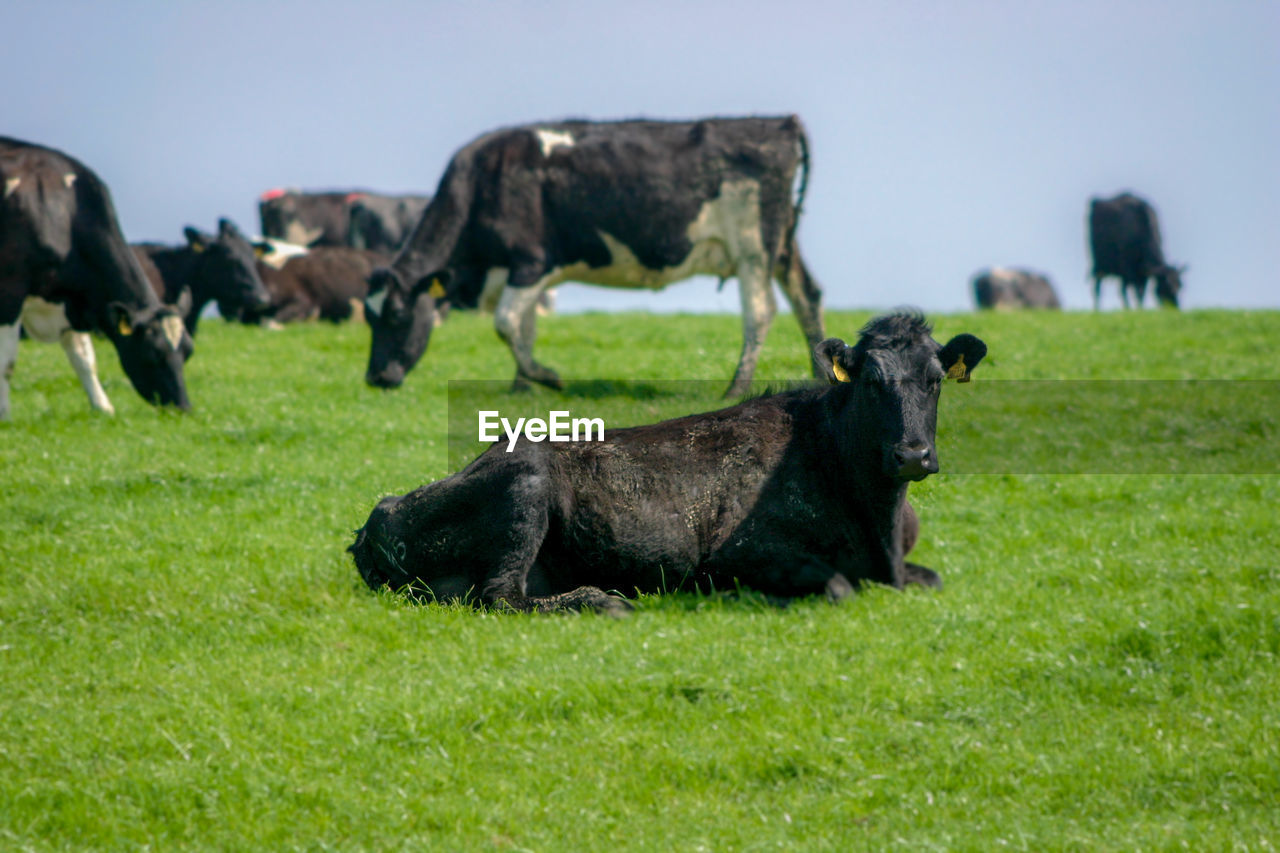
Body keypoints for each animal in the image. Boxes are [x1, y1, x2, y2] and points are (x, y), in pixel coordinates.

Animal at [0, 133, 193, 417]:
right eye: (152, 354)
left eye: (188, 351)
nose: (183, 407)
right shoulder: (10, 291)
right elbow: (7, 363)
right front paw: (4, 414)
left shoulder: (69, 298)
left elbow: (84, 358)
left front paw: (103, 407)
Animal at [345, 312, 983, 612]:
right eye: (872, 382)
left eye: (935, 380)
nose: (912, 453)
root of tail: (380, 514)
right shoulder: (738, 551)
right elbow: (836, 586)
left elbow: (932, 578)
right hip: (525, 486)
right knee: (498, 595)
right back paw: (600, 603)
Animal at [363, 114, 829, 397]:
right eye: (368, 317)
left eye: (397, 316)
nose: (375, 377)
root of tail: (779, 123)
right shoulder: (525, 273)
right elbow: (524, 328)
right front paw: (521, 388)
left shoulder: (531, 261)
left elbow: (506, 323)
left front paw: (547, 377)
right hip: (781, 246)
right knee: (807, 296)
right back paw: (822, 373)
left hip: (753, 247)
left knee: (761, 313)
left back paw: (736, 388)